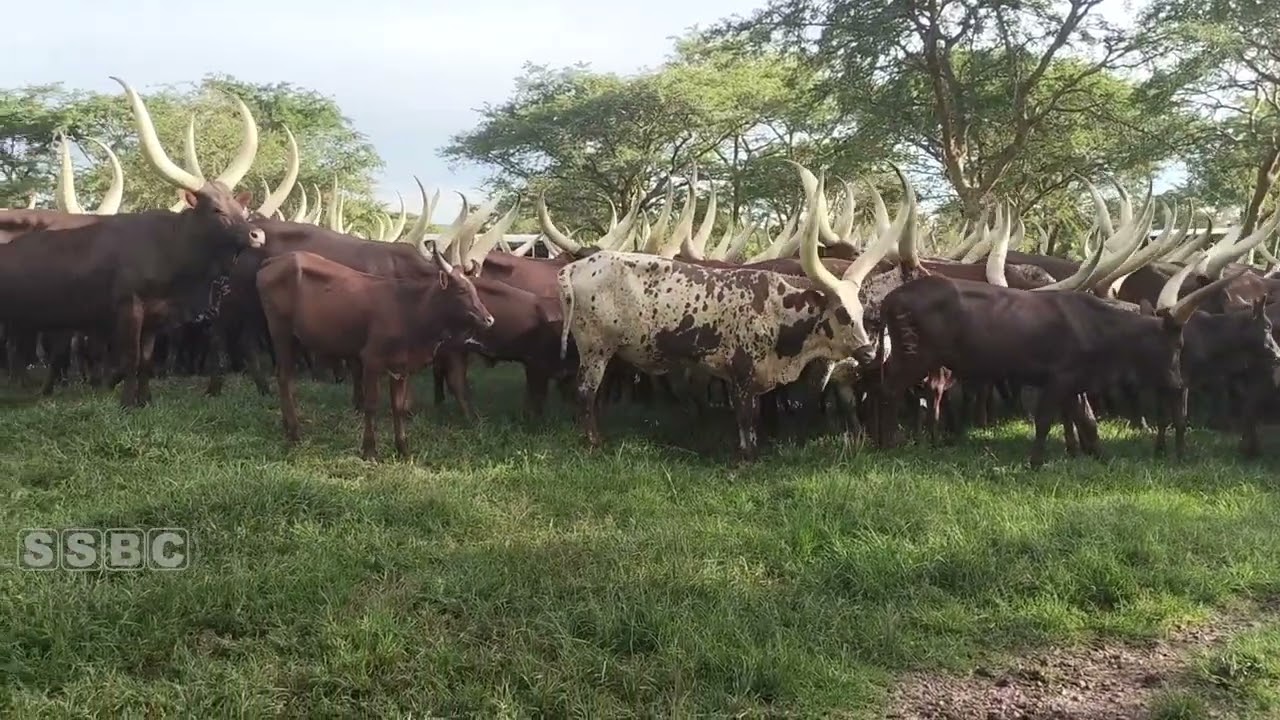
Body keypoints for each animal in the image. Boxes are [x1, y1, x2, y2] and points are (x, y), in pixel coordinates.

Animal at [256, 244, 494, 460]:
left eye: (475, 289)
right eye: (462, 290)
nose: (489, 319)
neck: (409, 310)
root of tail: (272, 262)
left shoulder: (401, 367)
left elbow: (398, 407)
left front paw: (403, 449)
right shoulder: (372, 361)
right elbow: (371, 405)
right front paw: (369, 449)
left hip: (295, 338)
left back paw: (288, 426)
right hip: (280, 332)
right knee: (284, 377)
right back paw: (294, 432)